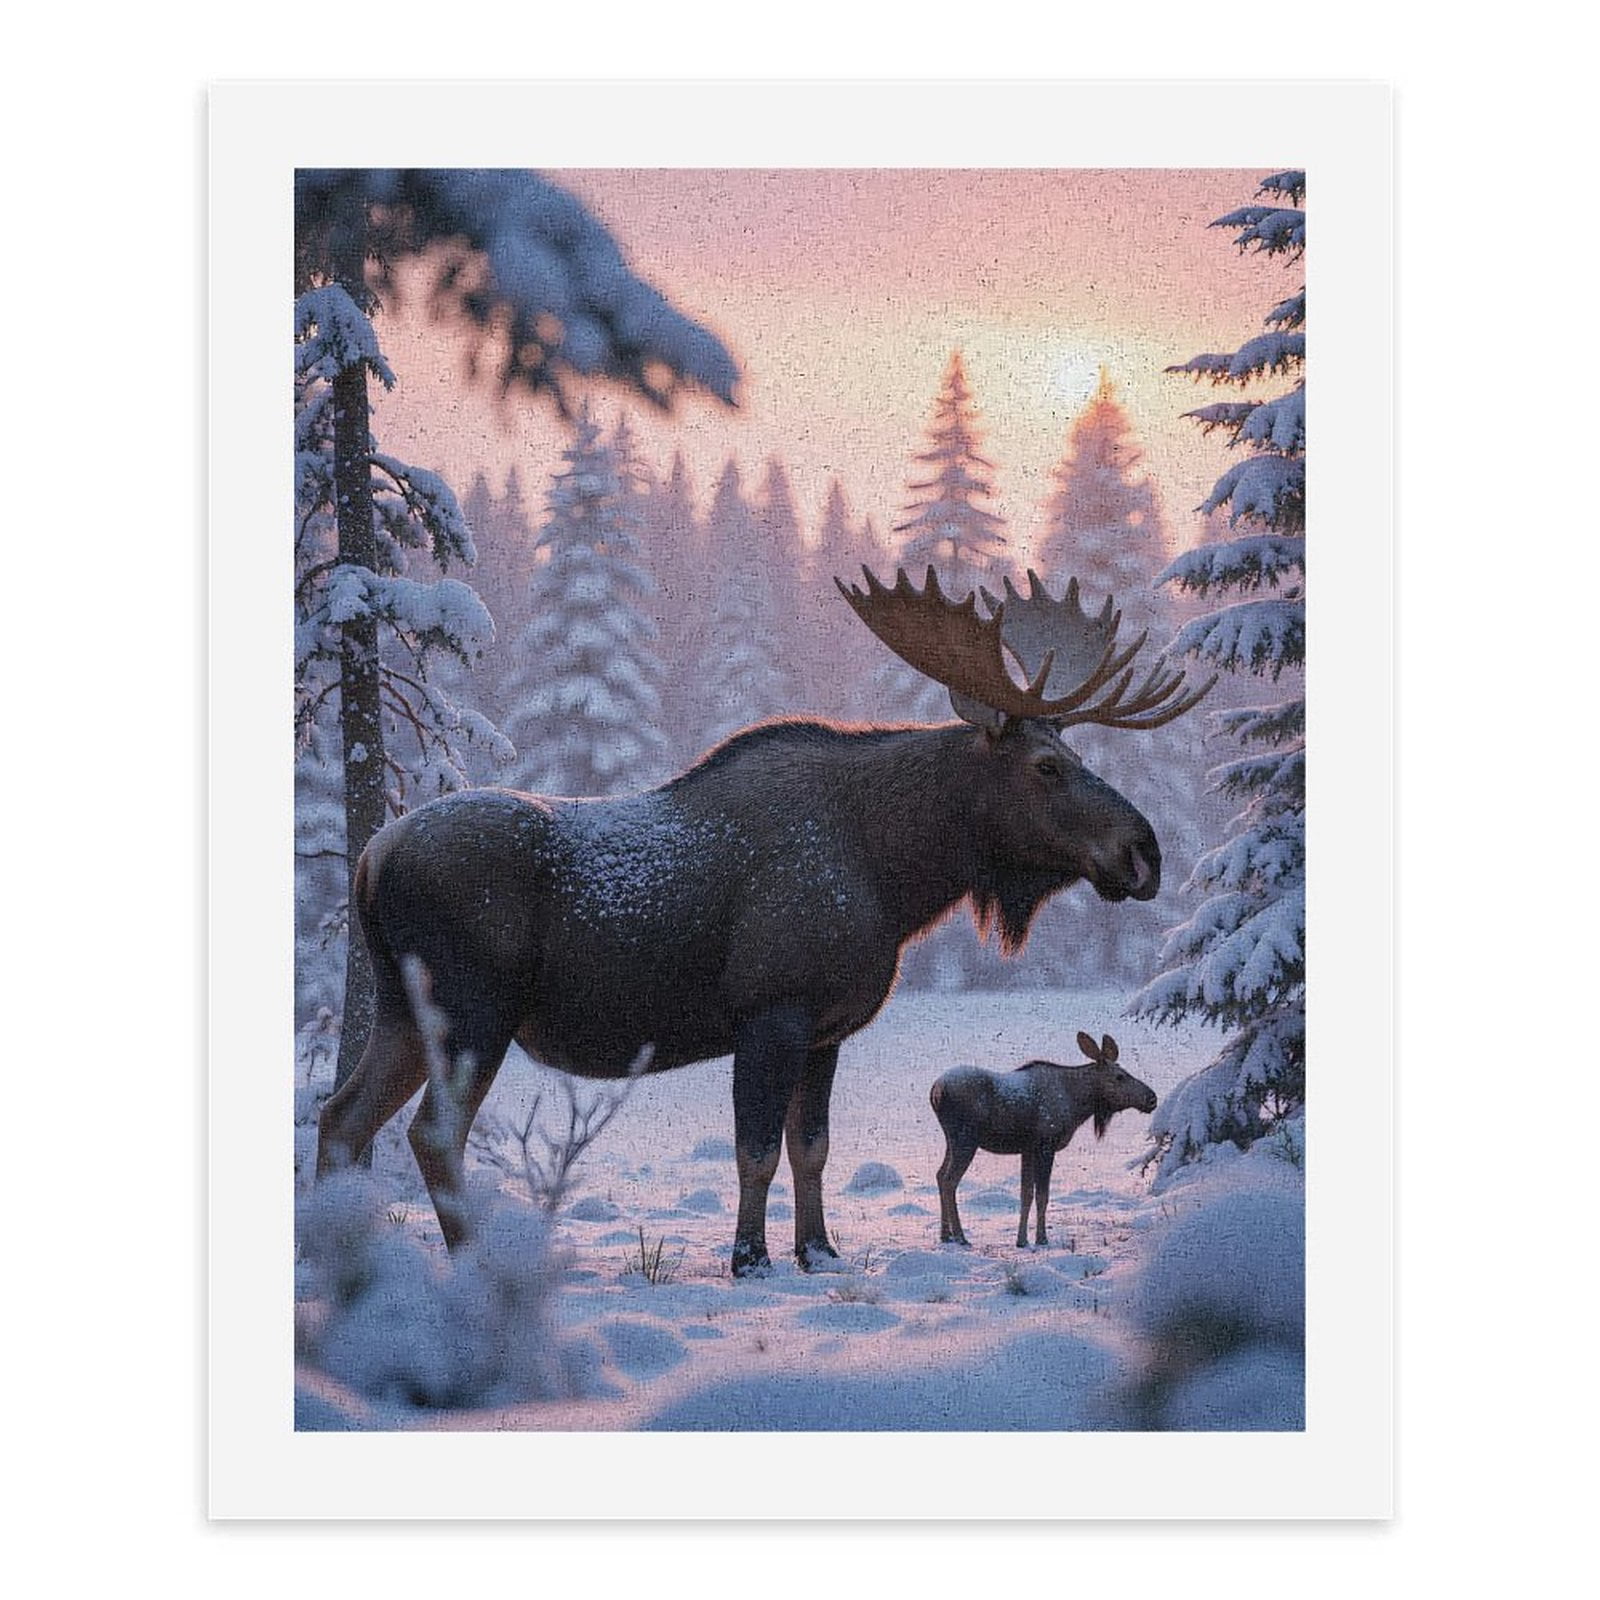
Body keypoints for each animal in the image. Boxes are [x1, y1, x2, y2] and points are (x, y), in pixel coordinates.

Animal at [931, 1031, 1158, 1249]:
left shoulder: (1027, 1149)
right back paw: (960, 1237)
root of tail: (936, 1092)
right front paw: (1041, 1239)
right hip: (965, 1139)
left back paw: (945, 1235)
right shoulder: (1045, 1145)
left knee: (940, 1175)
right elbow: (1042, 1195)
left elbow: (1026, 1194)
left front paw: (1021, 1240)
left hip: (952, 1140)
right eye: (1120, 1076)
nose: (1152, 1098)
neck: (1078, 1105)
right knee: (950, 1180)